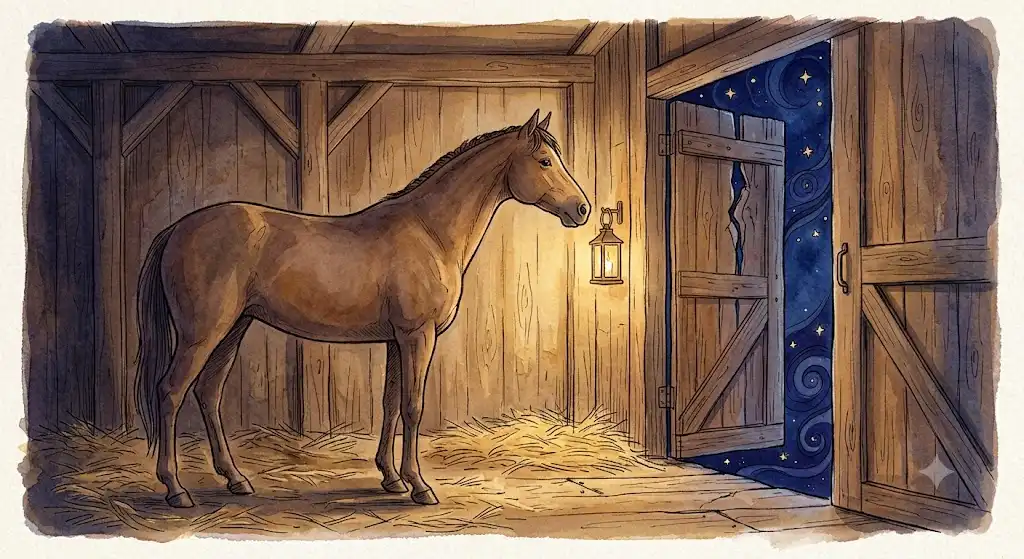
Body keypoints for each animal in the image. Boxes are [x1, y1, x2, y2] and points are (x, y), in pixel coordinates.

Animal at [134, 109, 591, 508]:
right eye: (545, 161)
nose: (582, 209)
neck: (430, 231)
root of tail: (177, 228)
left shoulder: (396, 340)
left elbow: (390, 404)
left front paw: (390, 478)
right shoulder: (417, 336)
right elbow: (413, 406)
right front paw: (419, 486)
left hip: (233, 329)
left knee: (208, 394)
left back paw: (236, 480)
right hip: (202, 334)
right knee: (171, 391)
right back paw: (176, 489)